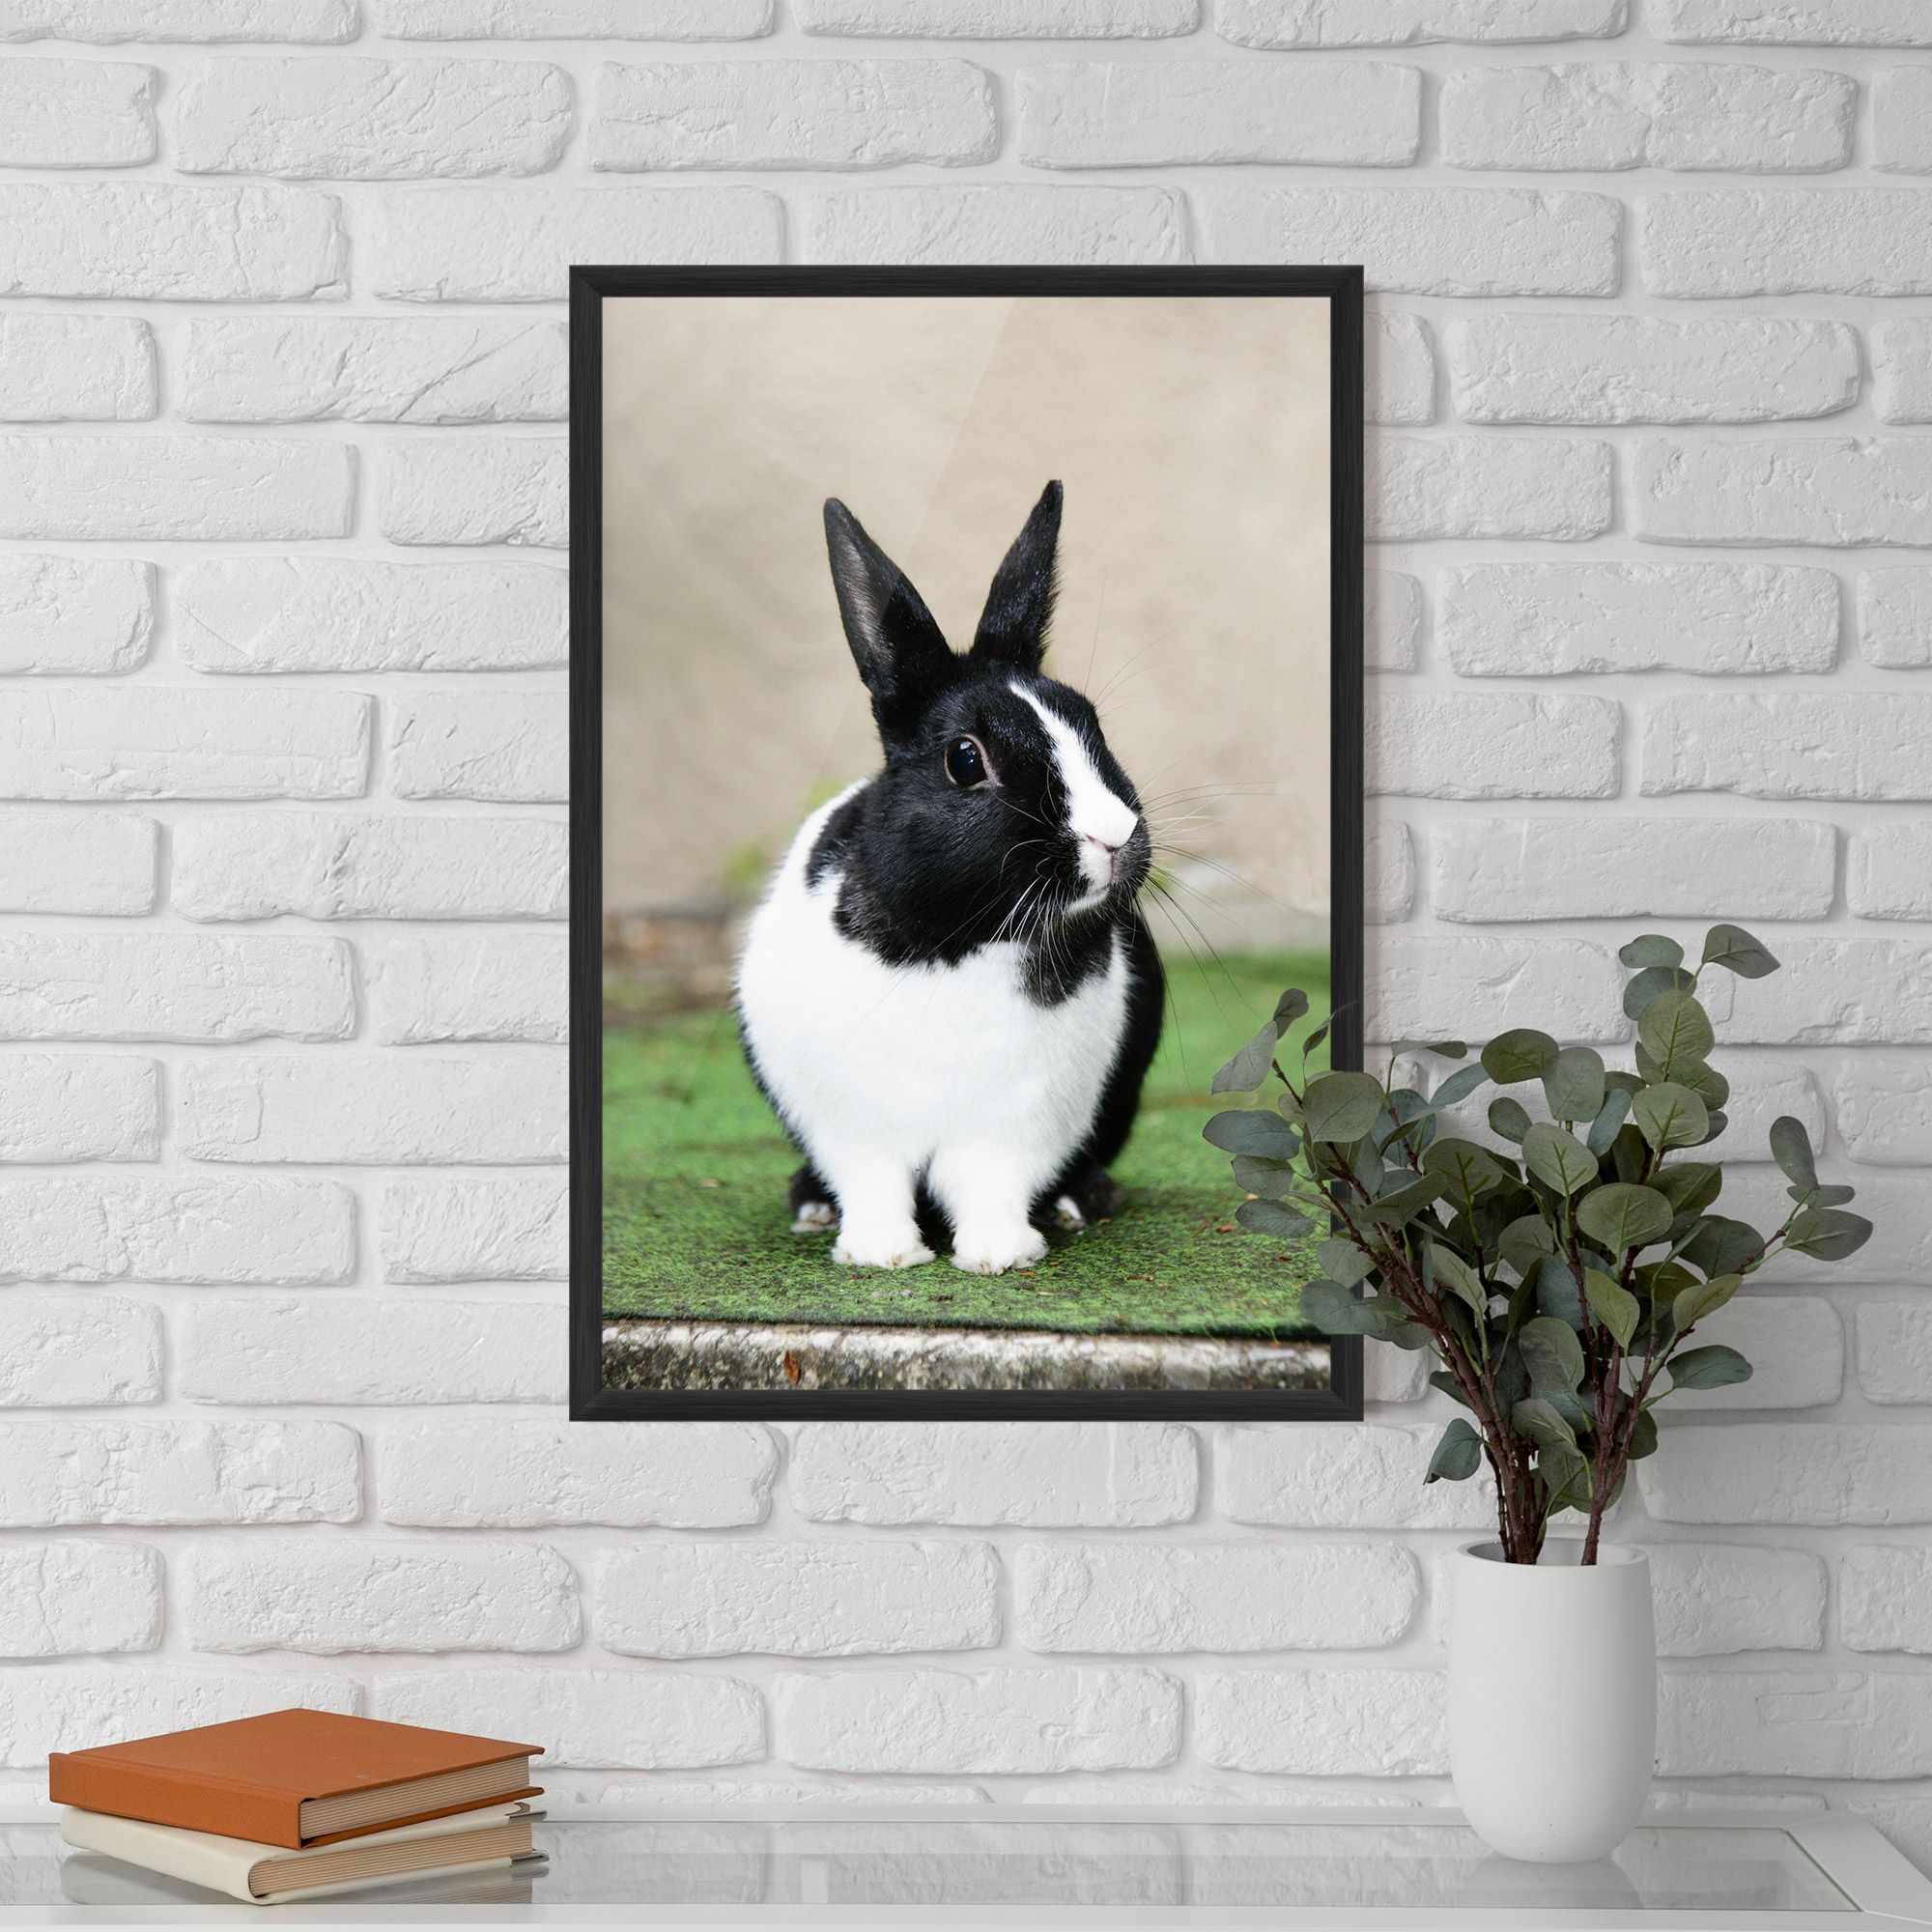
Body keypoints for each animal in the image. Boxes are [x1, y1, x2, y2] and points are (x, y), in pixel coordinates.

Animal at [736, 480, 1164, 1275]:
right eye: (966, 760)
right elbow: (872, 1183)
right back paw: (811, 1206)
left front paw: (999, 1254)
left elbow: (991, 1184)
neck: (957, 941)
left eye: (1091, 724)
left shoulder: (1016, 1123)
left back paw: (1079, 1201)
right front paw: (881, 1254)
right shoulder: (853, 1125)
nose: (1115, 836)